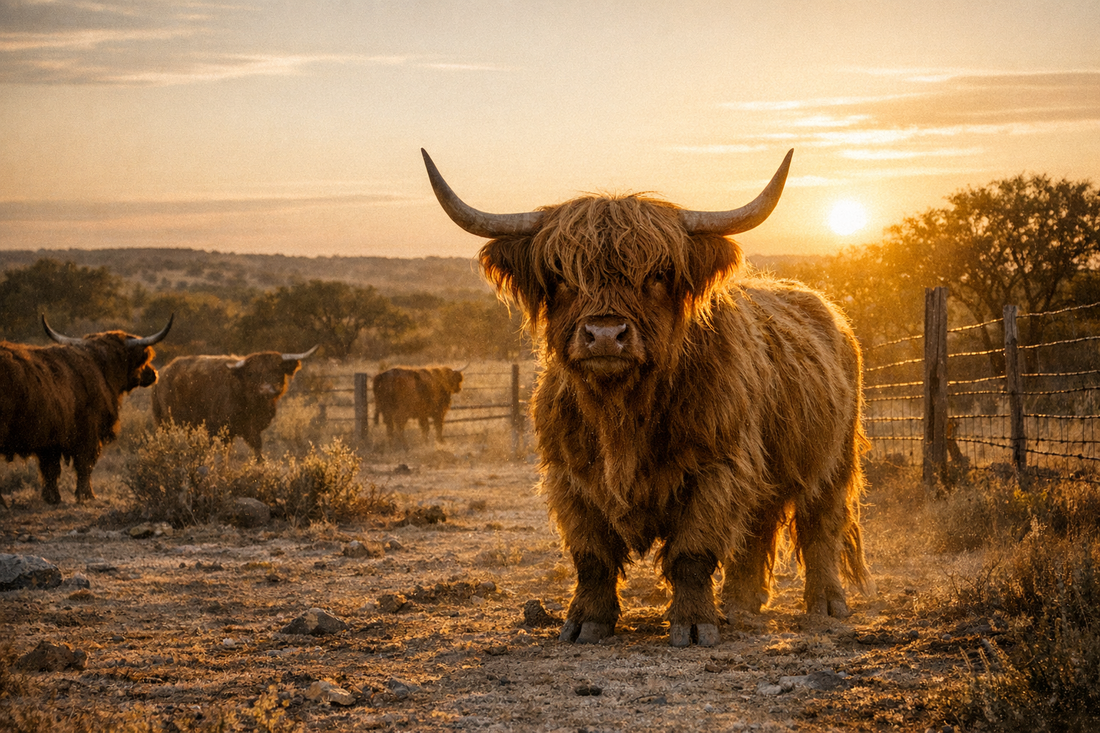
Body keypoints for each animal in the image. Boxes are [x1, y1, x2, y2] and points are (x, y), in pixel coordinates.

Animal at [0, 315, 173, 504]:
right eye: (143, 360)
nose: (154, 373)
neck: (101, 368)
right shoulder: (88, 432)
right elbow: (84, 464)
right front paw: (87, 495)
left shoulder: (51, 440)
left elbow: (50, 470)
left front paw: (52, 497)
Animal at [152, 346, 318, 459]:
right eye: (251, 373)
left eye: (277, 370)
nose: (266, 390)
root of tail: (163, 372)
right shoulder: (220, 430)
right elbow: (222, 455)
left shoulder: (252, 430)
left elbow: (258, 452)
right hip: (166, 422)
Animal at [422, 148, 873, 647]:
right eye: (561, 276)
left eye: (658, 275)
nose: (604, 335)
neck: (622, 413)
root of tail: (829, 310)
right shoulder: (568, 475)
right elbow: (592, 557)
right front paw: (586, 623)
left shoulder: (718, 467)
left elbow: (692, 552)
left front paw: (694, 625)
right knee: (755, 530)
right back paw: (740, 604)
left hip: (835, 460)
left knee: (820, 527)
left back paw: (826, 605)